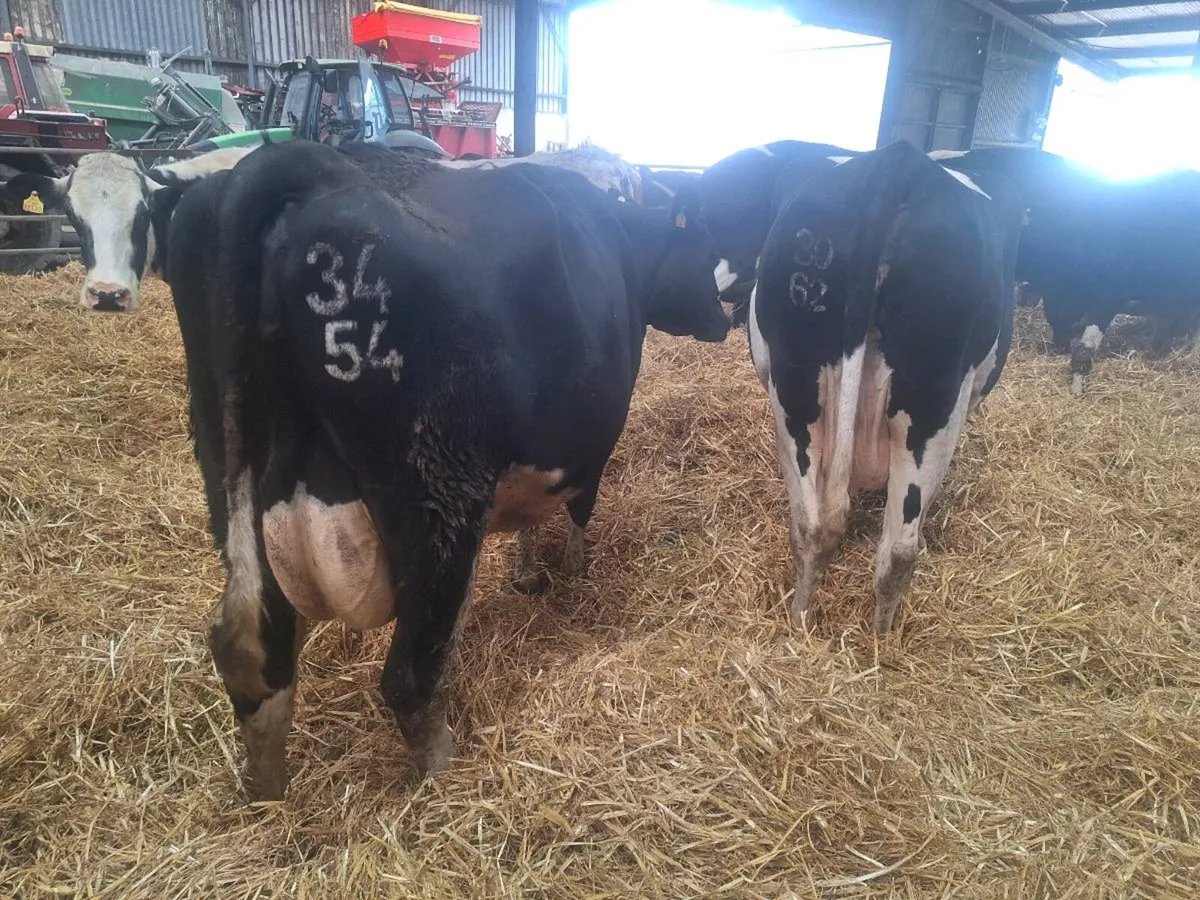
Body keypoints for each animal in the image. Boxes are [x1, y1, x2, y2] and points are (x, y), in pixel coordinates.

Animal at [163, 139, 728, 800]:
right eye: (704, 252)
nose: (726, 319)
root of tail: (304, 168)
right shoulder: (590, 442)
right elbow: (578, 513)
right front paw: (570, 570)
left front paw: (525, 571)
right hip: (435, 497)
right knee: (407, 674)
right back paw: (442, 771)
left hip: (232, 476)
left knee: (253, 648)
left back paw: (268, 790)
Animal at [745, 140, 1023, 632]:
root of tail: (898, 163)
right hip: (933, 401)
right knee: (898, 548)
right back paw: (880, 636)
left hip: (797, 386)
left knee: (815, 525)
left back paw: (803, 622)